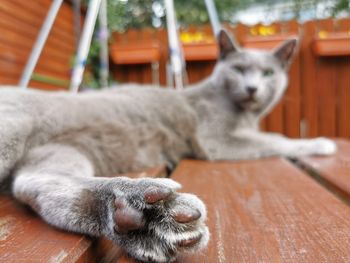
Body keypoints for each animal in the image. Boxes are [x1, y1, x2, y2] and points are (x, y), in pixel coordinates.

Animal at [0, 29, 336, 262]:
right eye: (239, 69)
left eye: (268, 73)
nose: (252, 88)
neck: (244, 114)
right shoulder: (217, 141)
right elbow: (274, 140)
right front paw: (320, 143)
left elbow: (271, 137)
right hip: (14, 127)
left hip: (59, 151)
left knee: (37, 183)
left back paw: (142, 216)